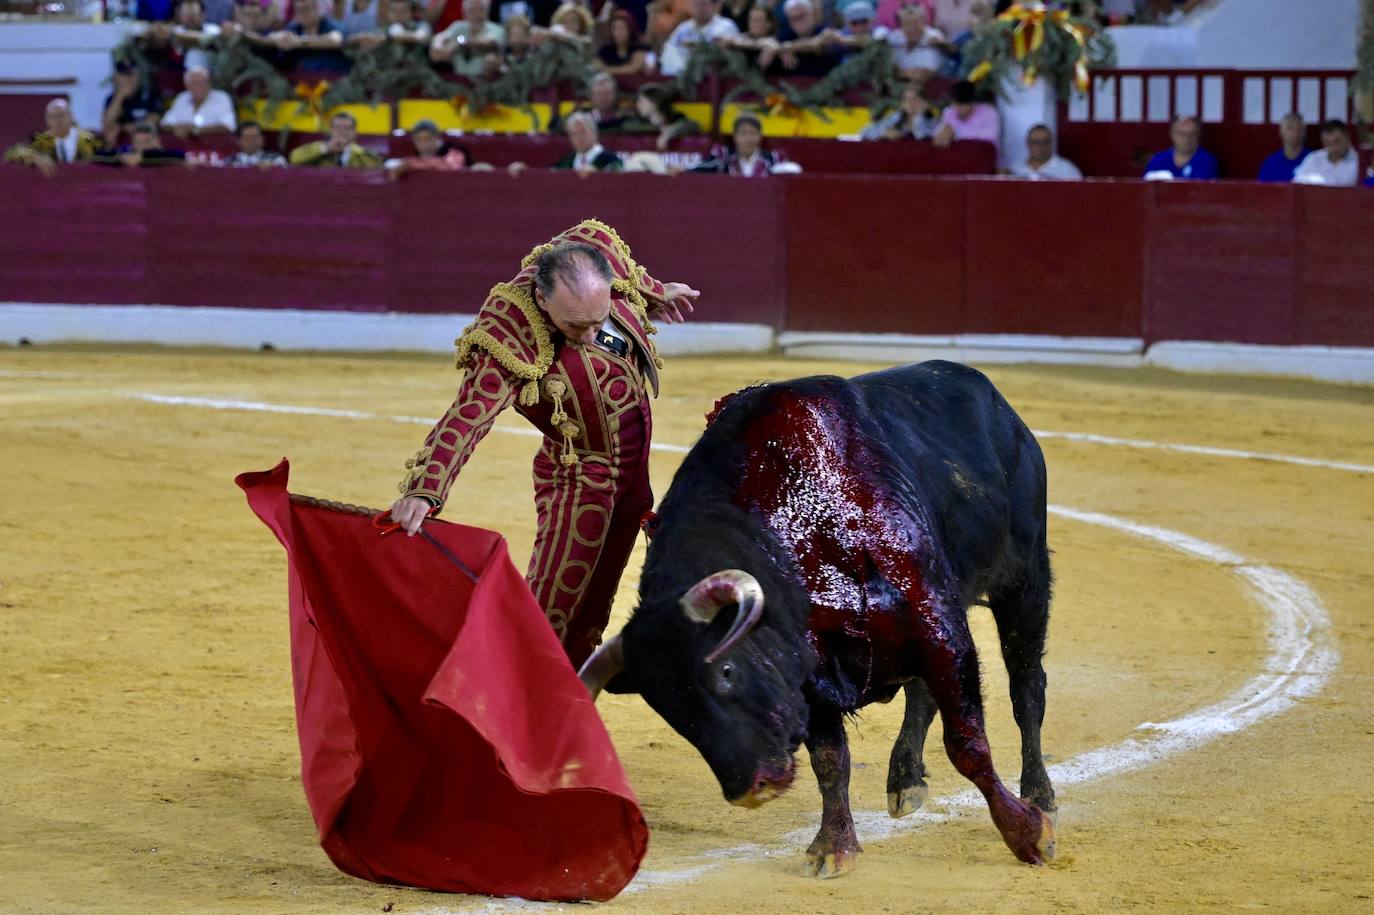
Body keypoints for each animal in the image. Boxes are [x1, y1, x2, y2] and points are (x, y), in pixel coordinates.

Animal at [577, 359, 1049, 873]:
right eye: (666, 707)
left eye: (726, 671)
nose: (750, 789)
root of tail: (998, 403)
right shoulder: (810, 667)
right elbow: (830, 759)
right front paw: (834, 846)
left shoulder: (936, 624)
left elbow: (968, 744)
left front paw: (1027, 833)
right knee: (923, 692)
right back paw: (905, 779)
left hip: (1024, 581)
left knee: (1026, 687)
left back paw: (1039, 793)